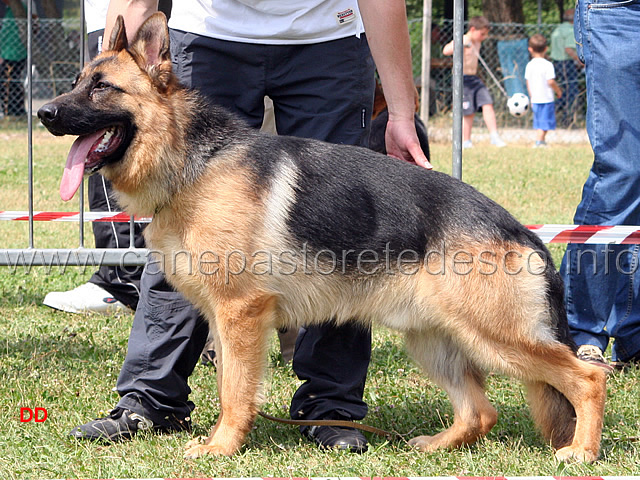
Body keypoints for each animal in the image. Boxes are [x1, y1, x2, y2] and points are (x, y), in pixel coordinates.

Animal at [37, 12, 608, 462]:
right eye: (77, 80)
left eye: (102, 87)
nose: (44, 113)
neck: (193, 161)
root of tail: (524, 234)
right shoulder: (222, 320)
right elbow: (225, 384)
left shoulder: (240, 314)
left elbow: (235, 392)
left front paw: (222, 448)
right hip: (434, 338)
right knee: (480, 413)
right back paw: (435, 446)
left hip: (495, 337)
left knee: (586, 377)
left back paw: (581, 451)